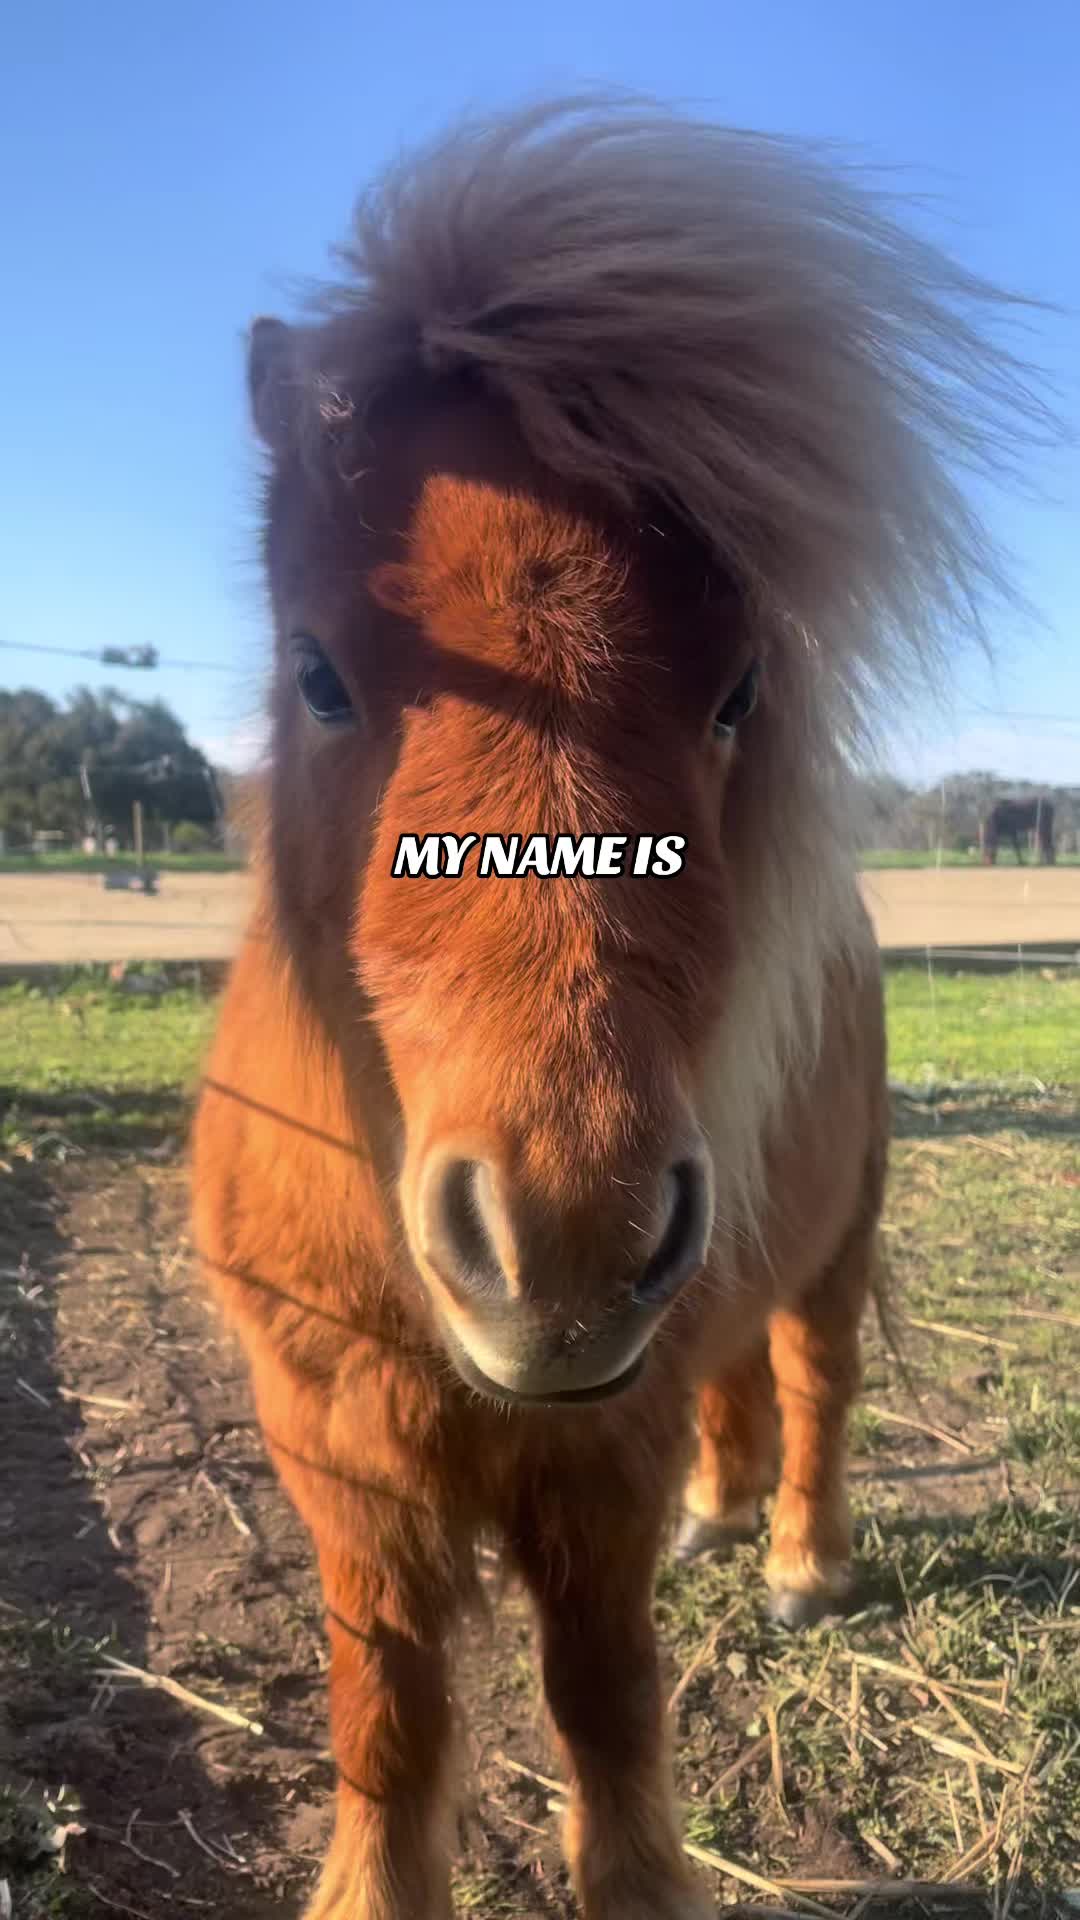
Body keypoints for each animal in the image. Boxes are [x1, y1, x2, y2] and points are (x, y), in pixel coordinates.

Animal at [192, 99, 1051, 1919]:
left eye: (738, 693)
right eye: (319, 673)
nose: (564, 1236)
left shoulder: (592, 1478)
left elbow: (604, 1708)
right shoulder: (340, 1461)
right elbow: (387, 1718)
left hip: (835, 1234)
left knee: (810, 1380)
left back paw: (794, 1560)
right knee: (733, 1383)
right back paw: (724, 1518)